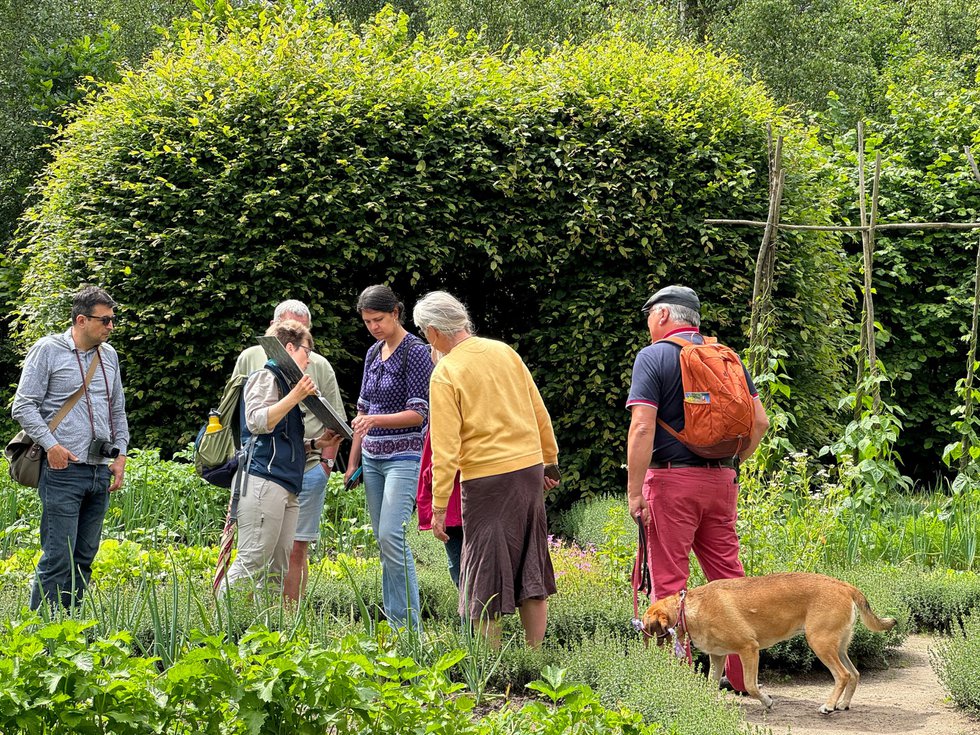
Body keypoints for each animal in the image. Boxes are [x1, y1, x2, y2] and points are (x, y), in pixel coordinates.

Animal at [644, 576, 896, 712]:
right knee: (854, 674)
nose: (643, 653)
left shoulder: (749, 649)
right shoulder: (718, 656)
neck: (688, 609)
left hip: (821, 644)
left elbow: (750, 685)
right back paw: (843, 704)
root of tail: (844, 586)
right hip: (838, 647)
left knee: (843, 675)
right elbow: (710, 684)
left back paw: (829, 706)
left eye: (646, 630)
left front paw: (767, 702)